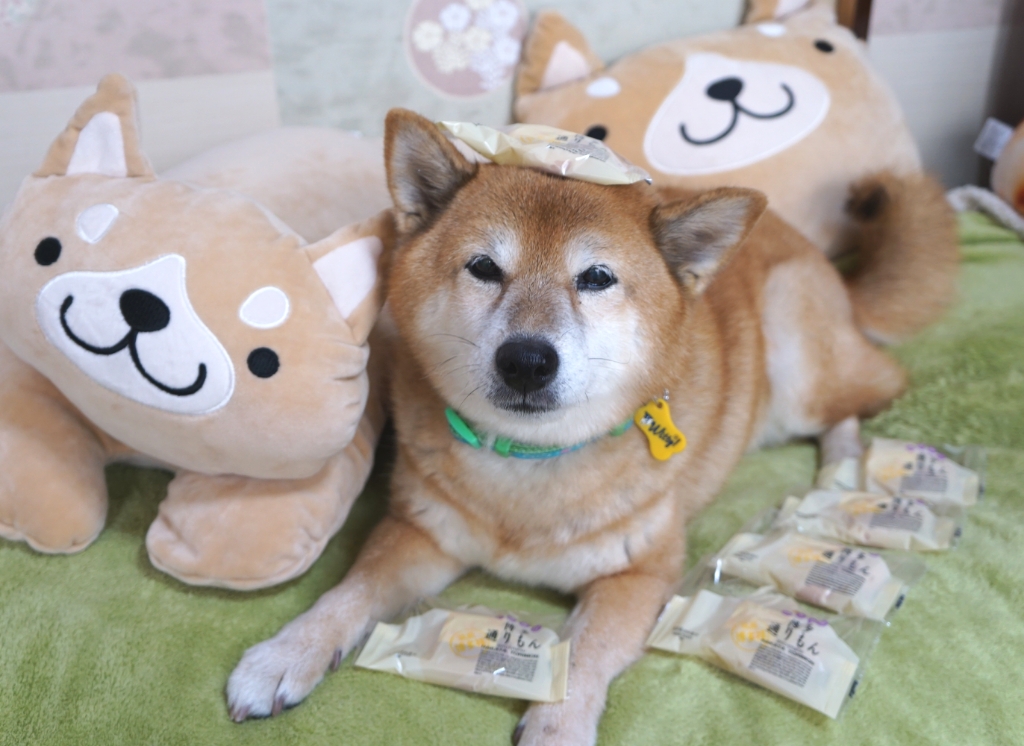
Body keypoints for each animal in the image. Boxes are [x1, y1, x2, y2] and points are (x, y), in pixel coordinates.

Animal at [225, 109, 956, 744]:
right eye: (484, 267)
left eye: (597, 277)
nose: (526, 360)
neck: (528, 469)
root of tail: (824, 260)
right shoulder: (420, 534)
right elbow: (350, 593)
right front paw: (287, 653)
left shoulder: (640, 576)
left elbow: (584, 652)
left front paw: (558, 725)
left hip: (796, 355)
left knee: (863, 397)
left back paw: (843, 470)